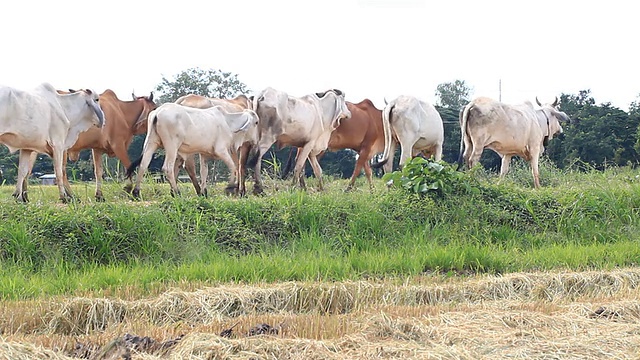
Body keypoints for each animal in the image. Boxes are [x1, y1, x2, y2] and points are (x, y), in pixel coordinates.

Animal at [127, 102, 260, 198]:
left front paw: (204, 192)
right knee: (167, 168)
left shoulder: (204, 154)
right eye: (256, 122)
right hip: (172, 146)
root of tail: (157, 112)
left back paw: (136, 193)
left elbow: (204, 172)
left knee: (143, 165)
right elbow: (233, 167)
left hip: (151, 143)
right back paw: (176, 192)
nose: (255, 141)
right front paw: (230, 187)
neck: (229, 123)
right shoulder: (221, 150)